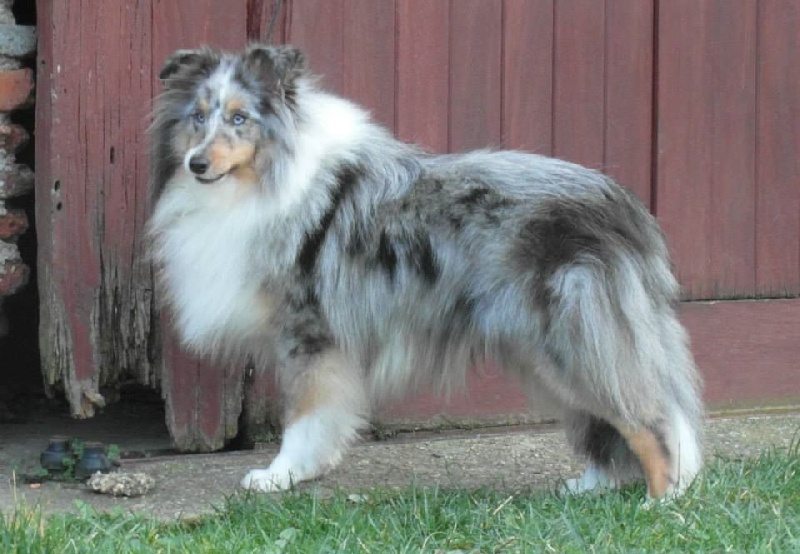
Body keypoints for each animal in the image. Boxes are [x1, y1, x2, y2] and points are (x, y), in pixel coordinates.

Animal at [147, 44, 703, 498]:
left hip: (574, 339)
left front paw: (279, 476)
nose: (196, 164)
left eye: (240, 119)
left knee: (649, 418)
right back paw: (590, 488)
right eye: (198, 118)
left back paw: (662, 502)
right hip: (548, 351)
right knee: (607, 419)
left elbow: (304, 417)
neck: (267, 179)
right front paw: (306, 471)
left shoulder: (309, 335)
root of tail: (627, 210)